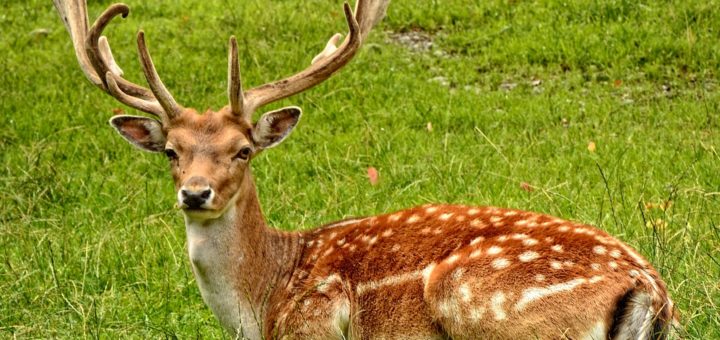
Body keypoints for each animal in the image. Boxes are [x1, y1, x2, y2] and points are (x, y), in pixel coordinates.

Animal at [53, 0, 676, 338]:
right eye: (171, 151)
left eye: (243, 150)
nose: (195, 193)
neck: (264, 300)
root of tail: (650, 289)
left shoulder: (313, 325)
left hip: (476, 298)